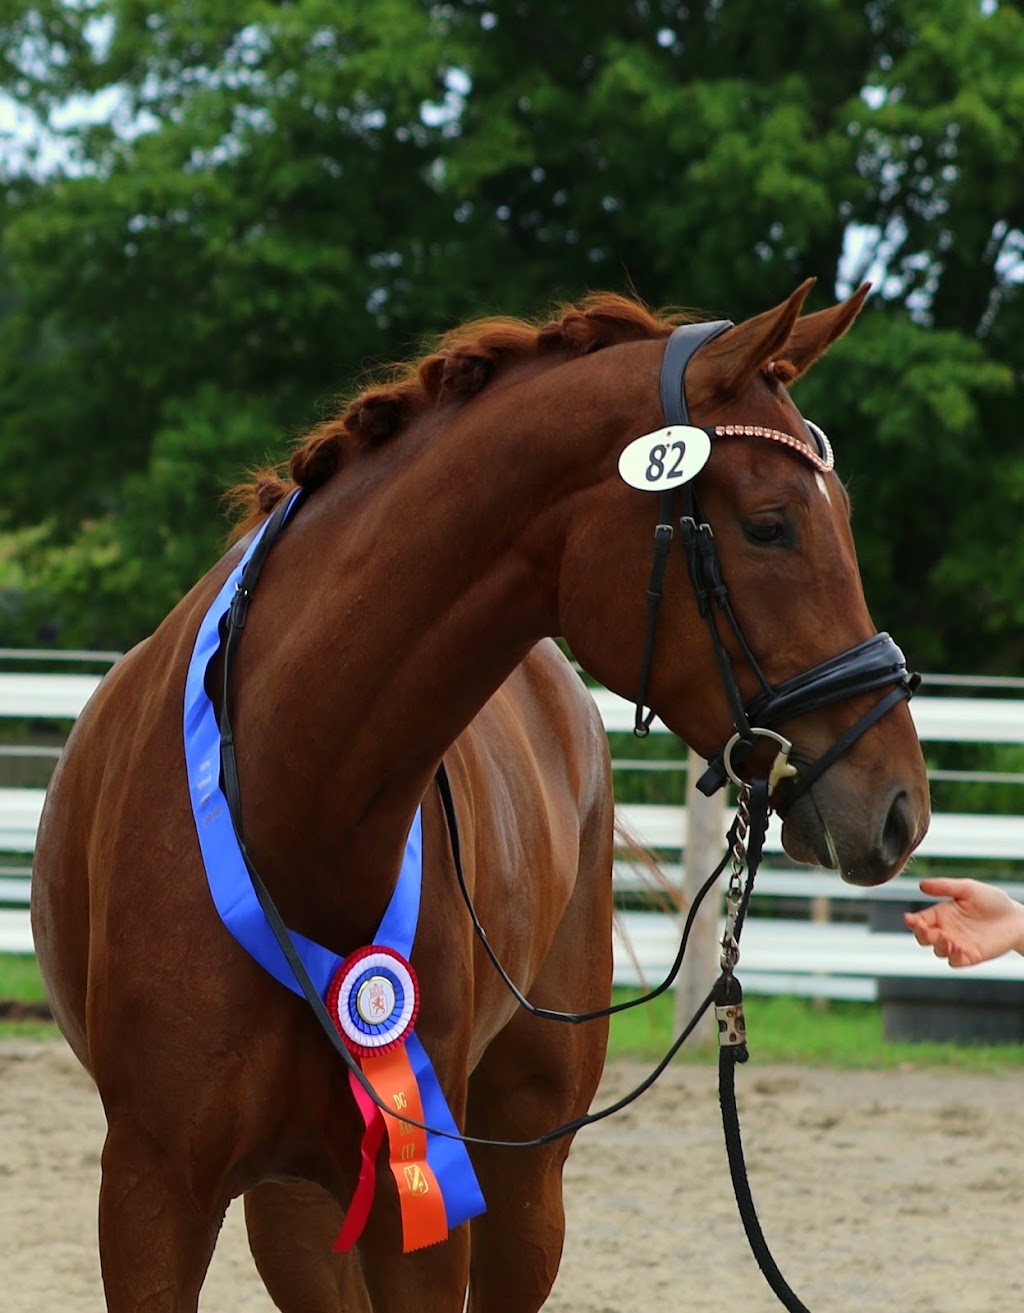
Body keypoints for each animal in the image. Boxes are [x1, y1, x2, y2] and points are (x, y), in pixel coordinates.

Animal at [32, 279, 929, 1313]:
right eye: (771, 522)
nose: (901, 806)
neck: (287, 804)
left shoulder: (421, 1203)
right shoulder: (151, 1195)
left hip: (524, 1174)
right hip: (299, 1205)